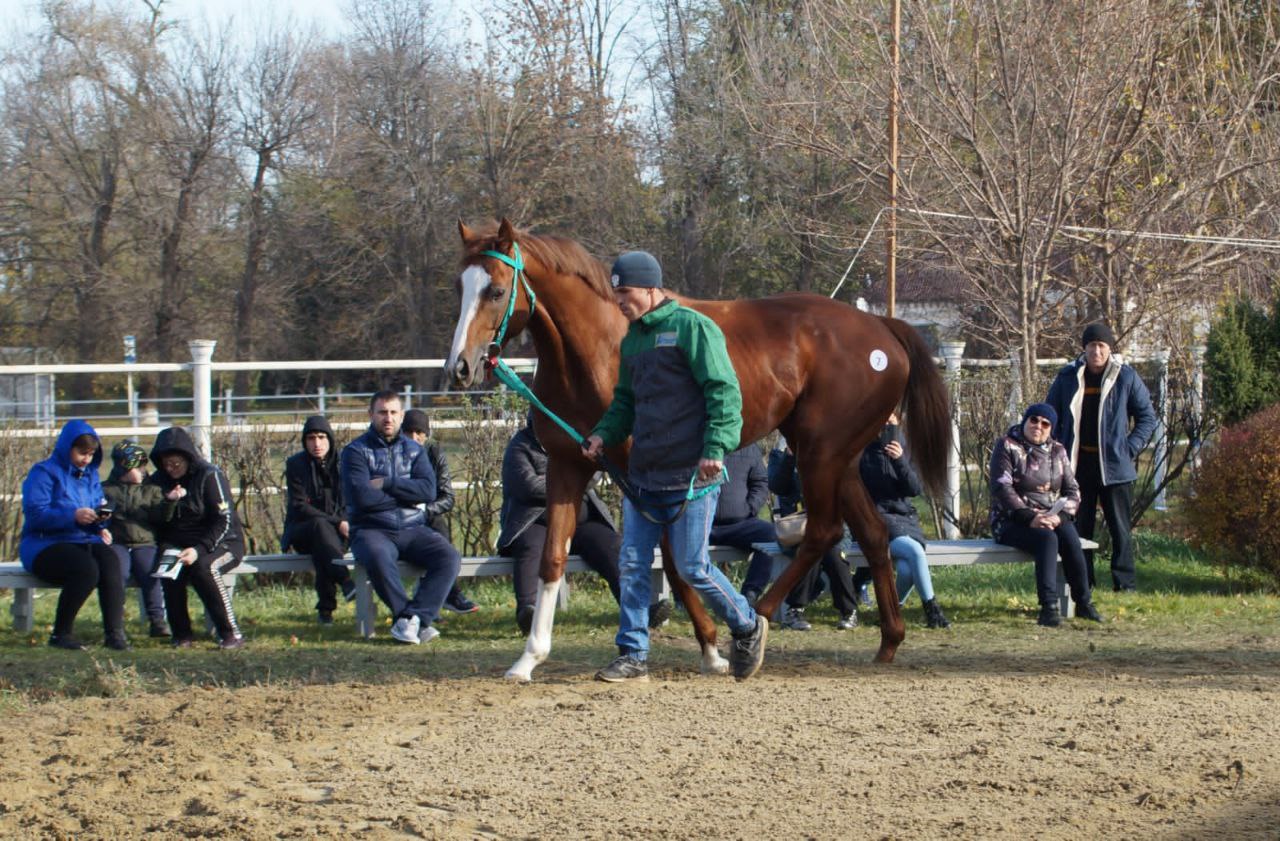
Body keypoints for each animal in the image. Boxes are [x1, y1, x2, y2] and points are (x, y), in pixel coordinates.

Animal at [445, 220, 947, 680]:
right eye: (458, 286)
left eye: (495, 290)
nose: (459, 368)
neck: (600, 347)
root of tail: (881, 326)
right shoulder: (569, 464)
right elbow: (553, 558)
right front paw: (528, 659)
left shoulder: (647, 479)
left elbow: (673, 560)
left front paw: (711, 649)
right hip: (837, 457)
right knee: (874, 534)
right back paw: (889, 642)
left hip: (820, 454)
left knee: (822, 532)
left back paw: (758, 621)